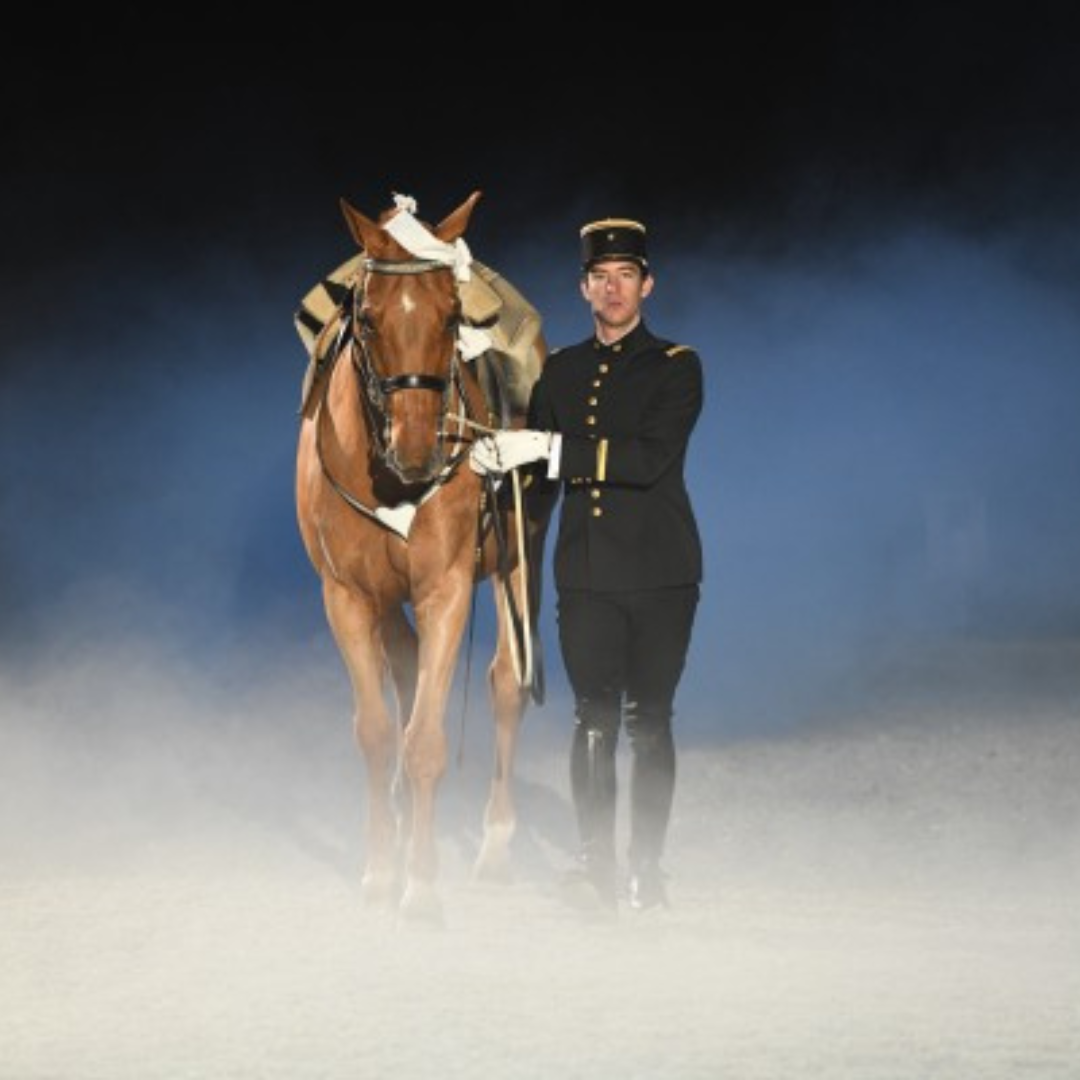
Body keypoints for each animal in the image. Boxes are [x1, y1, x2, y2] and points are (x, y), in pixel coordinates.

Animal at [295, 190, 548, 924]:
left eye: (451, 314)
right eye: (368, 317)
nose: (415, 448)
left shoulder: (446, 590)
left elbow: (426, 740)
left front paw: (424, 884)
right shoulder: (348, 598)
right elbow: (381, 734)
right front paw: (383, 869)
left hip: (520, 559)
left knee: (505, 683)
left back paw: (494, 847)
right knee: (406, 674)